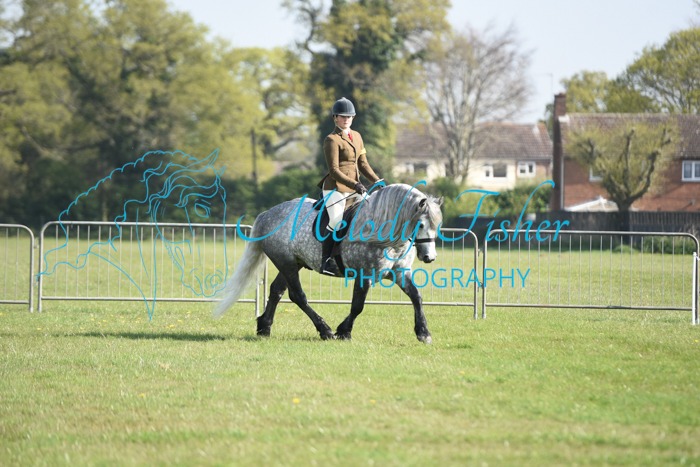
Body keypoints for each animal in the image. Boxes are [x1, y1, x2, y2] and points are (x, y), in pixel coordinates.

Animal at [214, 183, 443, 343]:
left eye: (437, 225)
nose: (429, 257)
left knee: (277, 291)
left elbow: (416, 297)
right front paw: (343, 331)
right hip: (286, 262)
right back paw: (325, 330)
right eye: (421, 224)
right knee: (298, 296)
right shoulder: (364, 276)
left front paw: (423, 333)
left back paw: (264, 327)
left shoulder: (400, 272)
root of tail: (267, 213)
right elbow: (358, 306)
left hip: (294, 262)